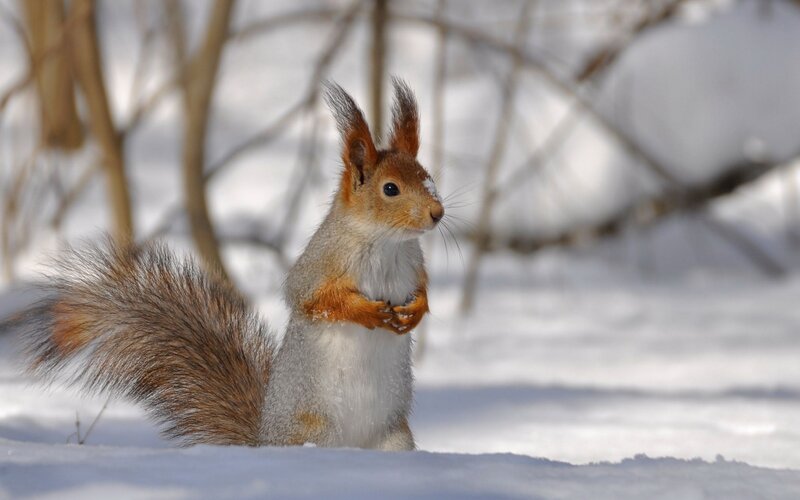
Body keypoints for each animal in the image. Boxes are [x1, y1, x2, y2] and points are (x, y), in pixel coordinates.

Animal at [11, 79, 444, 451]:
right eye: (390, 189)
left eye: (428, 177)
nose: (437, 213)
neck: (386, 243)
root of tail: (264, 441)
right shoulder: (320, 264)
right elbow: (312, 299)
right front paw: (369, 312)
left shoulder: (413, 264)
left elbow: (422, 290)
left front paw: (416, 311)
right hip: (316, 430)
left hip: (394, 438)